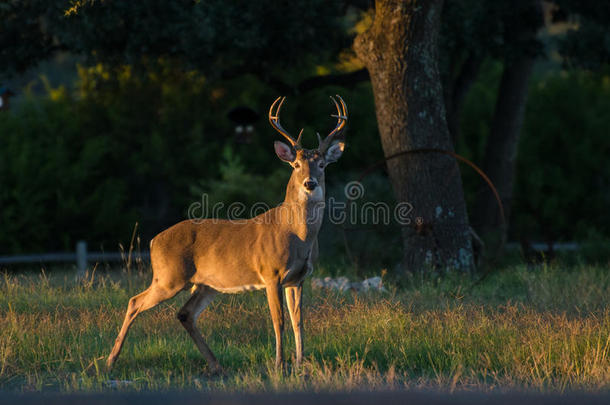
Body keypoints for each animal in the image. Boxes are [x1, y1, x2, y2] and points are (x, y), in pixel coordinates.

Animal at [105, 94, 346, 372]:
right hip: (169, 277)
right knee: (135, 302)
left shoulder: (298, 278)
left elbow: (299, 321)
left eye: (322, 165)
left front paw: (300, 363)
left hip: (206, 284)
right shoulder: (271, 273)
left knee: (185, 313)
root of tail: (155, 240)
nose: (309, 183)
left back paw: (216, 365)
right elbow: (279, 321)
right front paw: (279, 364)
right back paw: (110, 360)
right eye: (296, 164)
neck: (299, 237)